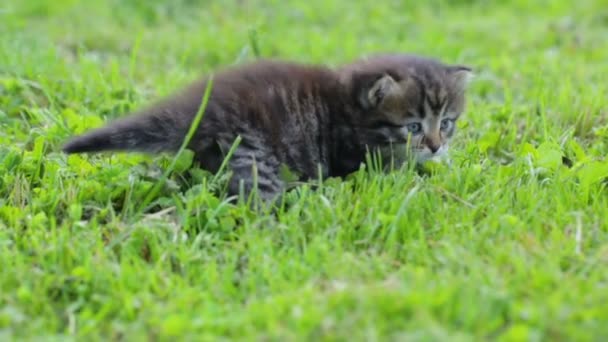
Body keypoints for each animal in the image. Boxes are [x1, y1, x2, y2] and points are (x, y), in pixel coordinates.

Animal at [61, 53, 472, 202]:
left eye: (446, 123)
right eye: (414, 126)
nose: (435, 145)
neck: (349, 106)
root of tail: (202, 106)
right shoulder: (352, 156)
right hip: (254, 155)